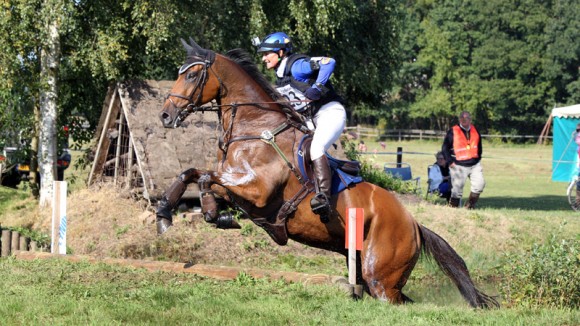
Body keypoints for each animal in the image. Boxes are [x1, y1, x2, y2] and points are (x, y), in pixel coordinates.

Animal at [155, 38, 498, 308]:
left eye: (193, 74)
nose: (165, 115)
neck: (254, 126)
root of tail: (415, 224)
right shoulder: (236, 186)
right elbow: (191, 174)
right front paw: (169, 215)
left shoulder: (257, 190)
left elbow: (204, 177)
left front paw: (209, 215)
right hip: (368, 270)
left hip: (380, 276)